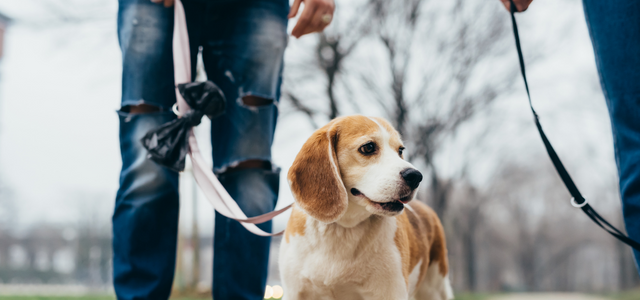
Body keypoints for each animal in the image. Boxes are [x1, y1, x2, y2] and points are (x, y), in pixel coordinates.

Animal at [280, 115, 456, 300]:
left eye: (400, 150)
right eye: (369, 147)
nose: (415, 176)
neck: (341, 229)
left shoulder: (390, 293)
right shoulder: (295, 292)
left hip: (435, 288)